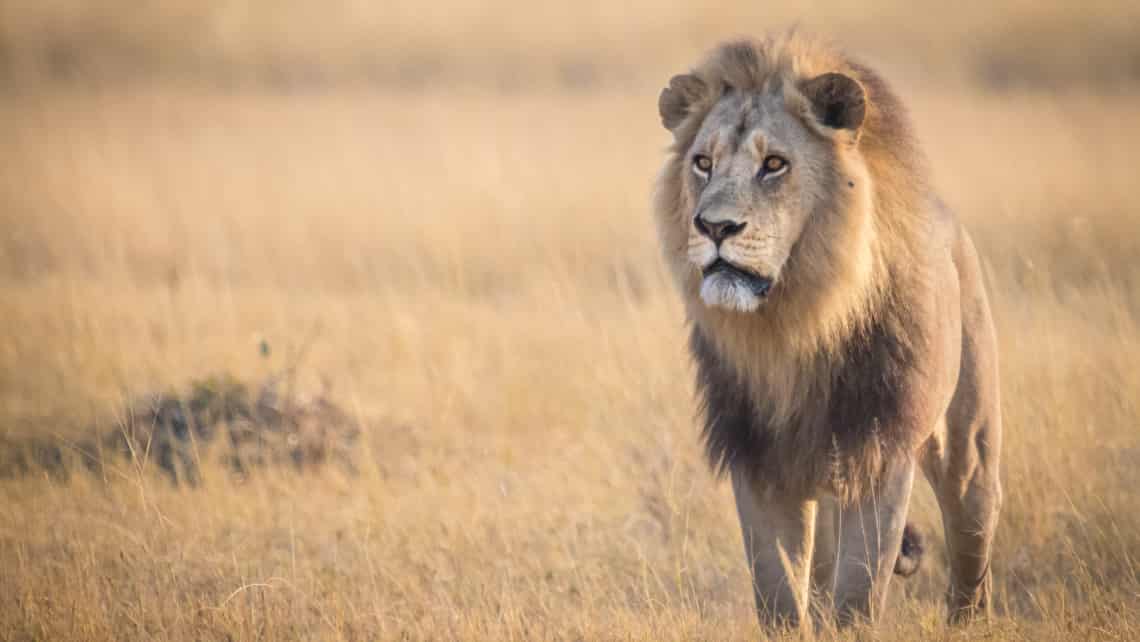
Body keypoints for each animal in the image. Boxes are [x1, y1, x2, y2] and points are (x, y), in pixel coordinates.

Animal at [656, 32, 1003, 629]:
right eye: (702, 162)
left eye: (774, 164)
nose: (714, 226)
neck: (795, 324)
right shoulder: (759, 461)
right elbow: (778, 594)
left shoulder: (880, 452)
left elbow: (858, 597)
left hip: (969, 442)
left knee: (971, 533)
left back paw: (968, 623)